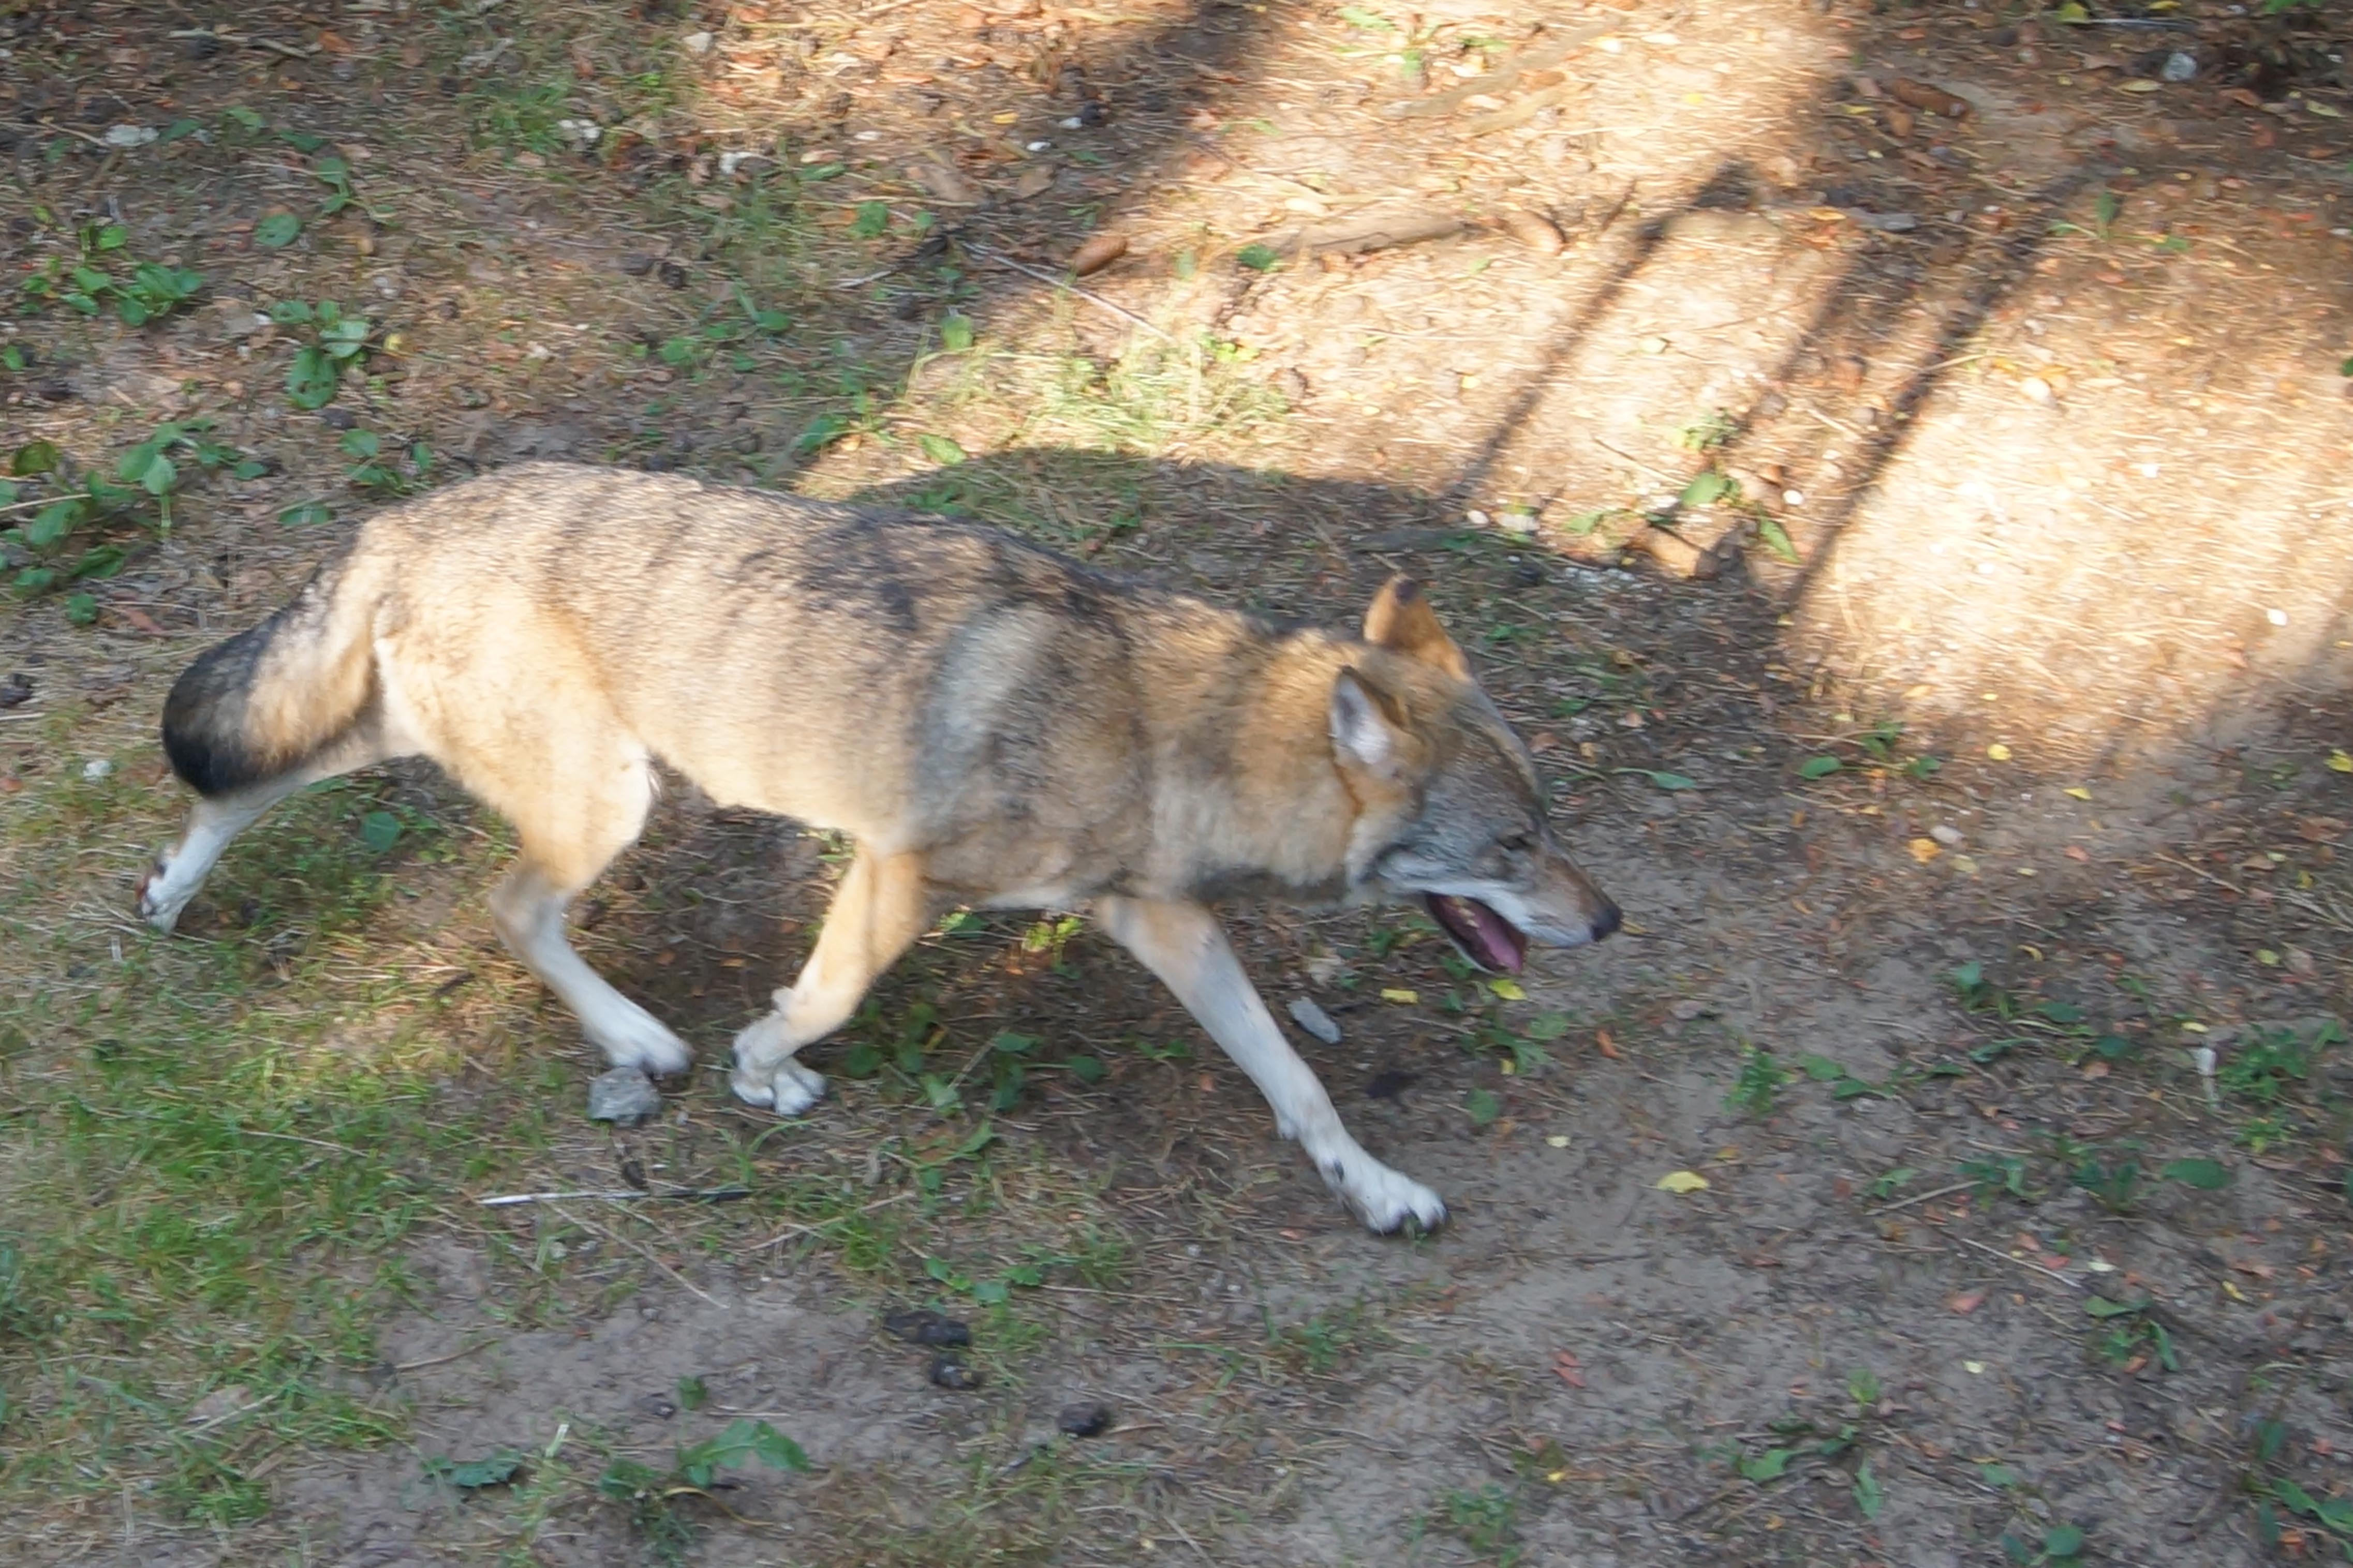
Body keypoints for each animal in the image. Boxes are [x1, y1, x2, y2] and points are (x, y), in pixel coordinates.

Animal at [139, 463, 1620, 1232]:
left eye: (1548, 828)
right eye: (1514, 844)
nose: (1609, 922)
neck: (1168, 730)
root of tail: (405, 514)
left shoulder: (1162, 922)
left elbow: (1296, 1086)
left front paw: (1375, 1190)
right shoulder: (900, 876)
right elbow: (823, 997)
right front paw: (759, 1067)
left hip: (426, 741)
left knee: (236, 785)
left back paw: (167, 893)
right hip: (605, 803)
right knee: (507, 913)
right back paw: (642, 1042)